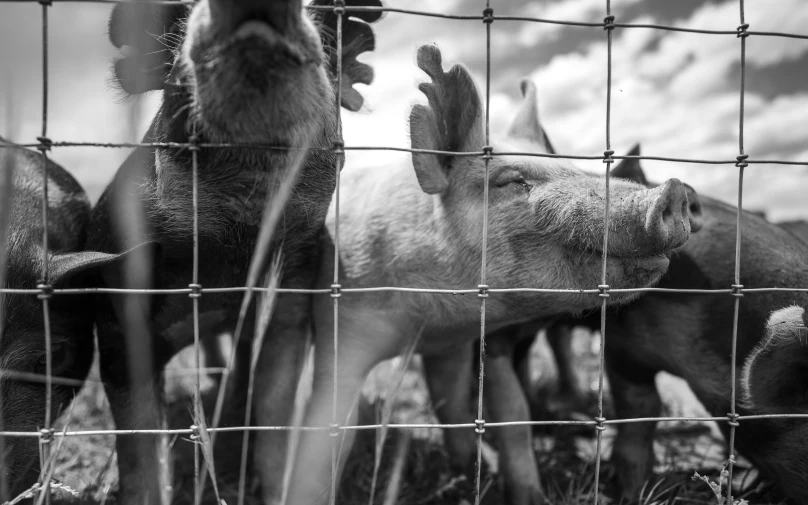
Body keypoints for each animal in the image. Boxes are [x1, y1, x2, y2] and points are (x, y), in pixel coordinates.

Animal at [87, 1, 384, 502]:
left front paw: (277, 484)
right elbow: (140, 443)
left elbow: (274, 414)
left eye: (326, 47)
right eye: (176, 74)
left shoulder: (289, 305)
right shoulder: (118, 318)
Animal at [280, 45, 692, 504]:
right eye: (511, 181)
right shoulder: (343, 325)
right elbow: (329, 433)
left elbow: (465, 408)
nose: (673, 191)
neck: (425, 318)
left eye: (569, 166)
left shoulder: (453, 345)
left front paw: (477, 477)